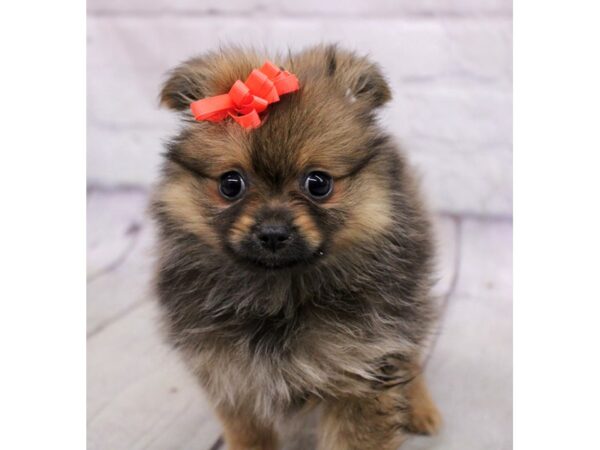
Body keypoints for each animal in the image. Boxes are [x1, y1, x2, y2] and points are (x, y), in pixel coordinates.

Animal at [151, 43, 440, 450]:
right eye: (230, 184)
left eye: (318, 183)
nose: (273, 232)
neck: (280, 294)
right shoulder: (233, 375)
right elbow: (250, 435)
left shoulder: (362, 368)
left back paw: (420, 407)